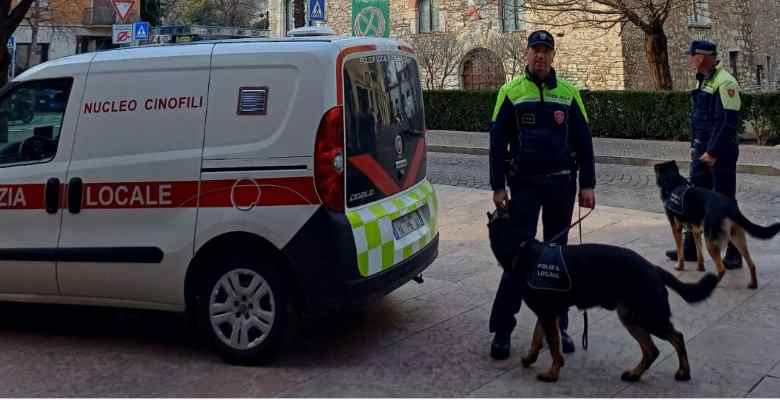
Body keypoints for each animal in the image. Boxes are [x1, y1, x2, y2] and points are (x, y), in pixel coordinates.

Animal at [488, 208, 720, 382]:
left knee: (676, 337)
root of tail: (653, 268)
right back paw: (634, 374)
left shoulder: (547, 313)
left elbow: (553, 345)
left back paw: (683, 372)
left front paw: (552, 373)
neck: (520, 248)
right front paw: (530, 359)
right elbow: (538, 339)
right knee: (651, 350)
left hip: (649, 316)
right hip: (631, 317)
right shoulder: (548, 313)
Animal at [652, 161, 780, 290]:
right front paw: (700, 268)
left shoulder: (676, 229)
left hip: (711, 241)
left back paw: (712, 284)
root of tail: (730, 206)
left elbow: (680, 251)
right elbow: (699, 253)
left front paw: (679, 266)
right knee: (751, 264)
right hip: (736, 237)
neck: (673, 182)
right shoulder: (695, 230)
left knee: (722, 269)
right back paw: (753, 284)